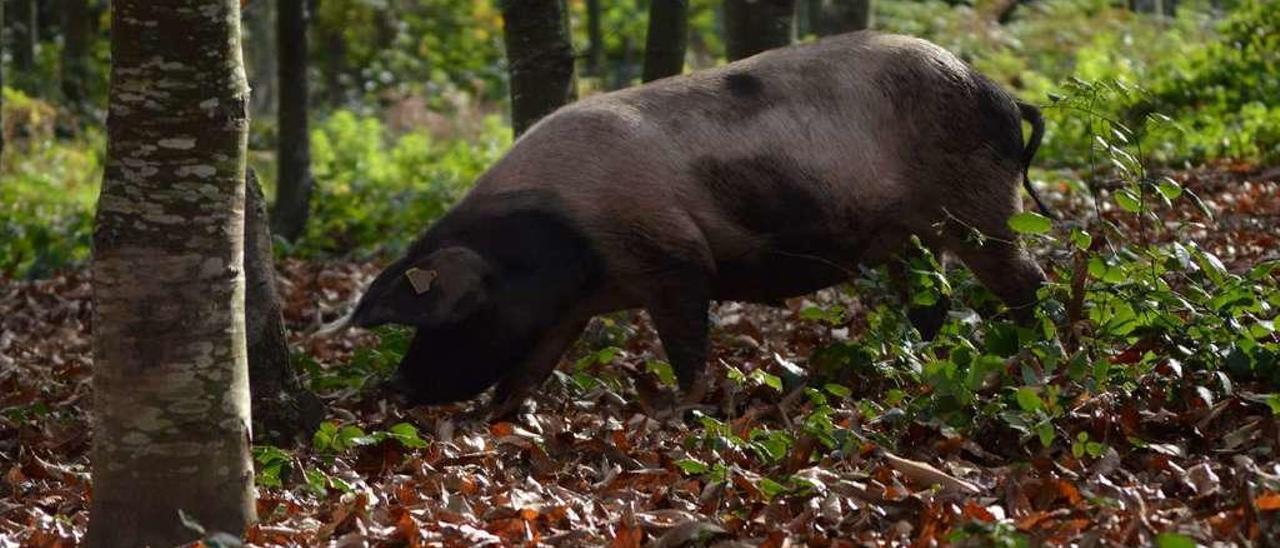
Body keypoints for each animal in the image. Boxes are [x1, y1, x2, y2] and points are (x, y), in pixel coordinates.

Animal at [330, 31, 1049, 414]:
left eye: (452, 316)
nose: (395, 384)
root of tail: (1001, 93)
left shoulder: (672, 259)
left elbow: (686, 348)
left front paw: (689, 411)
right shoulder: (569, 309)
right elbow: (528, 370)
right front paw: (498, 420)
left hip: (979, 205)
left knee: (1026, 280)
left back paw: (1030, 354)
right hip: (911, 236)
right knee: (934, 301)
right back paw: (923, 361)